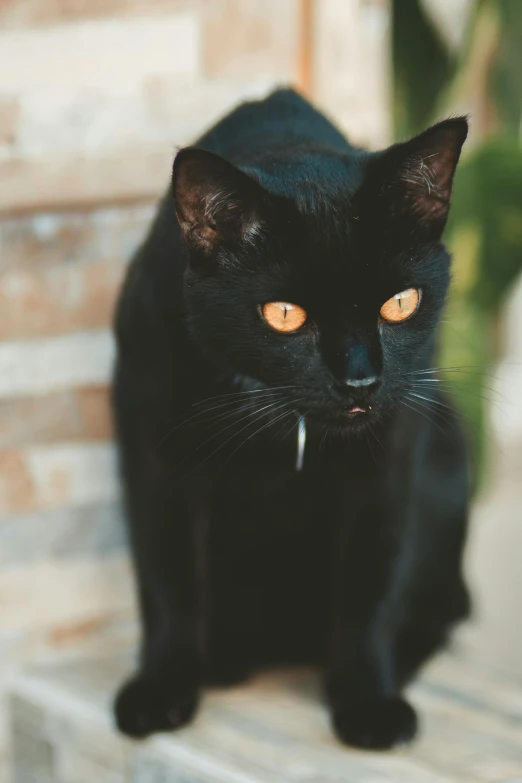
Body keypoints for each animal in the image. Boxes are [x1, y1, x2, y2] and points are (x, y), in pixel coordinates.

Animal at [111, 89, 470, 752]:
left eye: (400, 303)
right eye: (284, 314)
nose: (360, 380)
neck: (287, 434)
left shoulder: (388, 463)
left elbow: (370, 589)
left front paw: (368, 702)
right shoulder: (153, 452)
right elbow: (167, 580)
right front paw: (161, 690)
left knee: (442, 605)